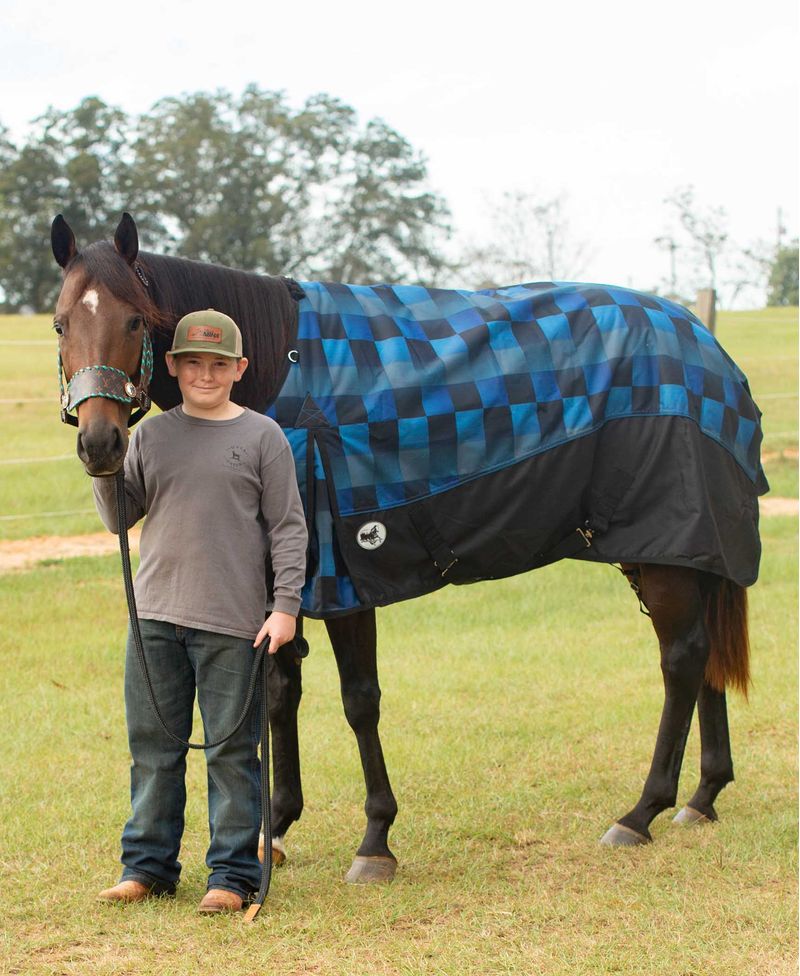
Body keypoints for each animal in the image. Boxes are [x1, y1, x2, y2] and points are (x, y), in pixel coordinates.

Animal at [50, 212, 767, 884]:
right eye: (60, 324)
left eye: (137, 320)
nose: (99, 444)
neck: (283, 372)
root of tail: (708, 347)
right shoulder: (285, 579)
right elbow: (280, 692)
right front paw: (275, 827)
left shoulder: (346, 574)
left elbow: (358, 701)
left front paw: (375, 840)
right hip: (671, 552)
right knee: (701, 655)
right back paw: (701, 797)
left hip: (668, 549)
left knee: (681, 660)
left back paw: (641, 812)